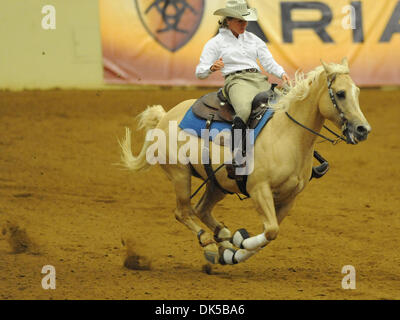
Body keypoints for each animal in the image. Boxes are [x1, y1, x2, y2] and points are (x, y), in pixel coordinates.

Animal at [119, 58, 372, 266]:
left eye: (357, 91)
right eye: (340, 93)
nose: (363, 129)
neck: (286, 134)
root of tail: (165, 117)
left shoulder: (289, 198)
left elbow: (268, 236)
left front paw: (235, 251)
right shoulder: (259, 189)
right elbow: (270, 231)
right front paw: (239, 243)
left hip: (218, 183)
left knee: (201, 209)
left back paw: (224, 238)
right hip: (181, 175)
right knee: (183, 212)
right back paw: (210, 244)